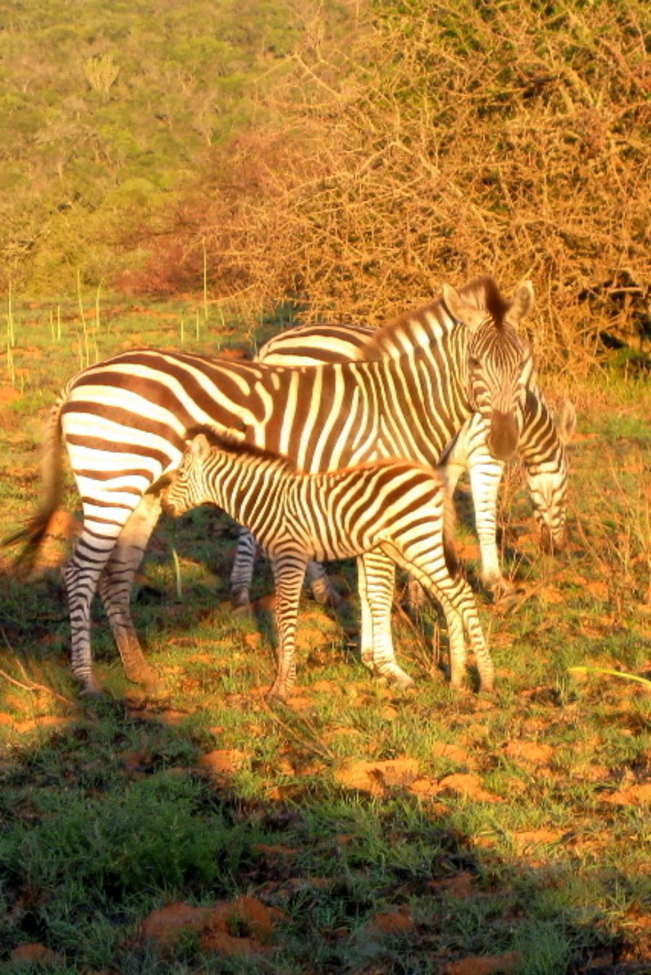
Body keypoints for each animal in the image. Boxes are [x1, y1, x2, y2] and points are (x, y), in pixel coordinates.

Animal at [162, 431, 495, 697]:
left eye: (180, 475)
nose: (164, 506)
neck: (268, 501)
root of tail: (429, 475)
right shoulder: (279, 558)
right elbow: (283, 615)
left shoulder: (291, 554)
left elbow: (285, 615)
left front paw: (281, 688)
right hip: (404, 546)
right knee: (448, 596)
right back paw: (457, 678)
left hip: (418, 539)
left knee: (461, 593)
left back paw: (486, 680)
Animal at [230, 321, 576, 606]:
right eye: (565, 489)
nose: (558, 550)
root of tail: (270, 347)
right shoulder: (483, 453)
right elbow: (484, 520)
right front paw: (496, 586)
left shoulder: (444, 461)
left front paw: (422, 588)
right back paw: (303, 590)